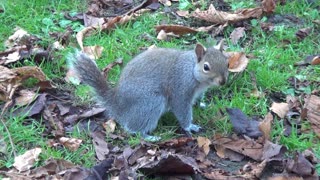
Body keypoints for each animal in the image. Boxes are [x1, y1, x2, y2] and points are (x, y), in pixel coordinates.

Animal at [69, 41, 229, 141]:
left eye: (227, 62)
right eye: (206, 67)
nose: (223, 81)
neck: (191, 70)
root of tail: (117, 105)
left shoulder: (198, 91)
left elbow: (198, 99)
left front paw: (201, 105)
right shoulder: (180, 89)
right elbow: (182, 110)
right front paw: (190, 126)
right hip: (150, 103)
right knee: (133, 129)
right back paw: (149, 137)